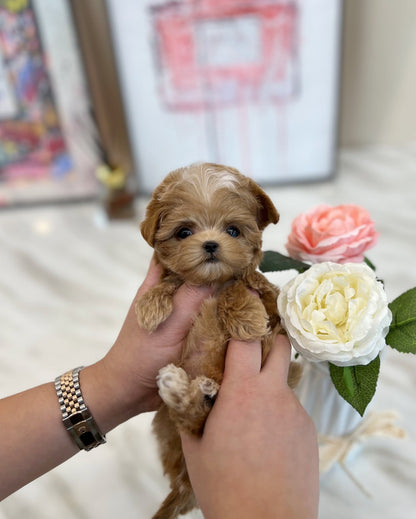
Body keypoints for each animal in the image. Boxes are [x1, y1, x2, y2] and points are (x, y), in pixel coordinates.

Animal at [136, 165, 300, 519]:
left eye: (233, 230)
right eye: (184, 232)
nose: (211, 244)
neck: (210, 281)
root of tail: (185, 486)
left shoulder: (268, 301)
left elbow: (241, 284)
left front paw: (246, 317)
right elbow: (171, 281)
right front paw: (150, 306)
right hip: (169, 426)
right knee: (189, 420)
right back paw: (182, 388)